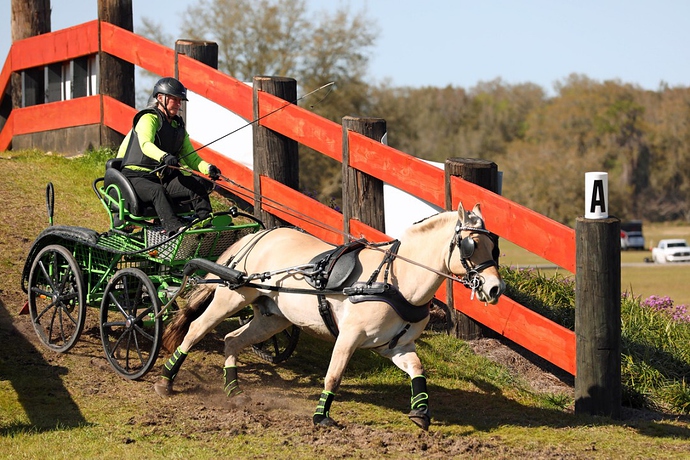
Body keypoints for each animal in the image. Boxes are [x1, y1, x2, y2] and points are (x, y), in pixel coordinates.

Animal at [153, 203, 502, 430]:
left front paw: (421, 412)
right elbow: (333, 375)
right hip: (232, 297)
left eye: (495, 247)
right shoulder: (349, 336)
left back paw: (234, 390)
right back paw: (166, 380)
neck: (393, 279)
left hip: (273, 318)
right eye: (470, 245)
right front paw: (321, 417)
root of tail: (258, 236)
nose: (495, 288)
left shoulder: (396, 347)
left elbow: (417, 370)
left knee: (232, 340)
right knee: (196, 329)